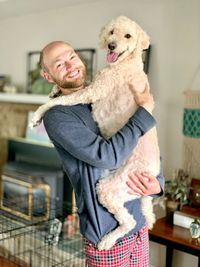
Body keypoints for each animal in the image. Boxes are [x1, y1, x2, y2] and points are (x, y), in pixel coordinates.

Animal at [31, 15, 160, 251]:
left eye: (128, 35)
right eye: (112, 32)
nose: (111, 45)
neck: (124, 64)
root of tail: (153, 172)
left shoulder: (92, 91)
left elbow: (63, 100)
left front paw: (38, 113)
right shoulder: (93, 85)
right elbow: (71, 89)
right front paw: (54, 90)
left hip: (110, 187)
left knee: (129, 221)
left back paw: (107, 241)